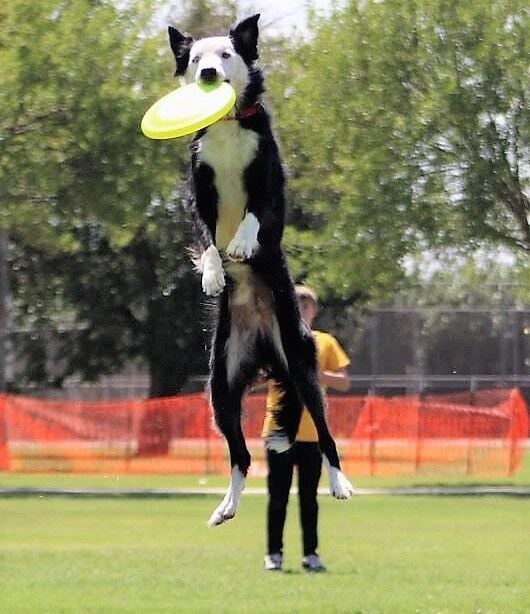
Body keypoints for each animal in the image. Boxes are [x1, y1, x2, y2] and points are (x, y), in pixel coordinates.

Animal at [167, 14, 352, 528]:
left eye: (226, 54)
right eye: (195, 58)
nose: (209, 73)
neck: (229, 126)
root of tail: (266, 346)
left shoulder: (269, 183)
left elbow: (254, 214)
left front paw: (244, 243)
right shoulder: (199, 191)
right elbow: (208, 239)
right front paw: (213, 273)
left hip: (304, 369)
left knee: (325, 433)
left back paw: (341, 483)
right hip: (220, 387)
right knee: (240, 455)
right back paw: (226, 506)